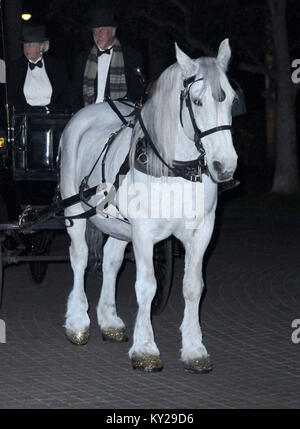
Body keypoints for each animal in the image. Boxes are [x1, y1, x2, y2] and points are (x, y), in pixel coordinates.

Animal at [59, 41, 237, 374]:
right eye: (197, 101)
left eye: (232, 99)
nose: (225, 166)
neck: (176, 170)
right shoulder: (143, 233)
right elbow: (146, 286)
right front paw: (145, 349)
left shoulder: (201, 232)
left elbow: (193, 286)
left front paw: (194, 349)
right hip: (73, 211)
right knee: (79, 258)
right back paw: (78, 322)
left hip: (118, 225)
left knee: (112, 261)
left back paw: (109, 321)